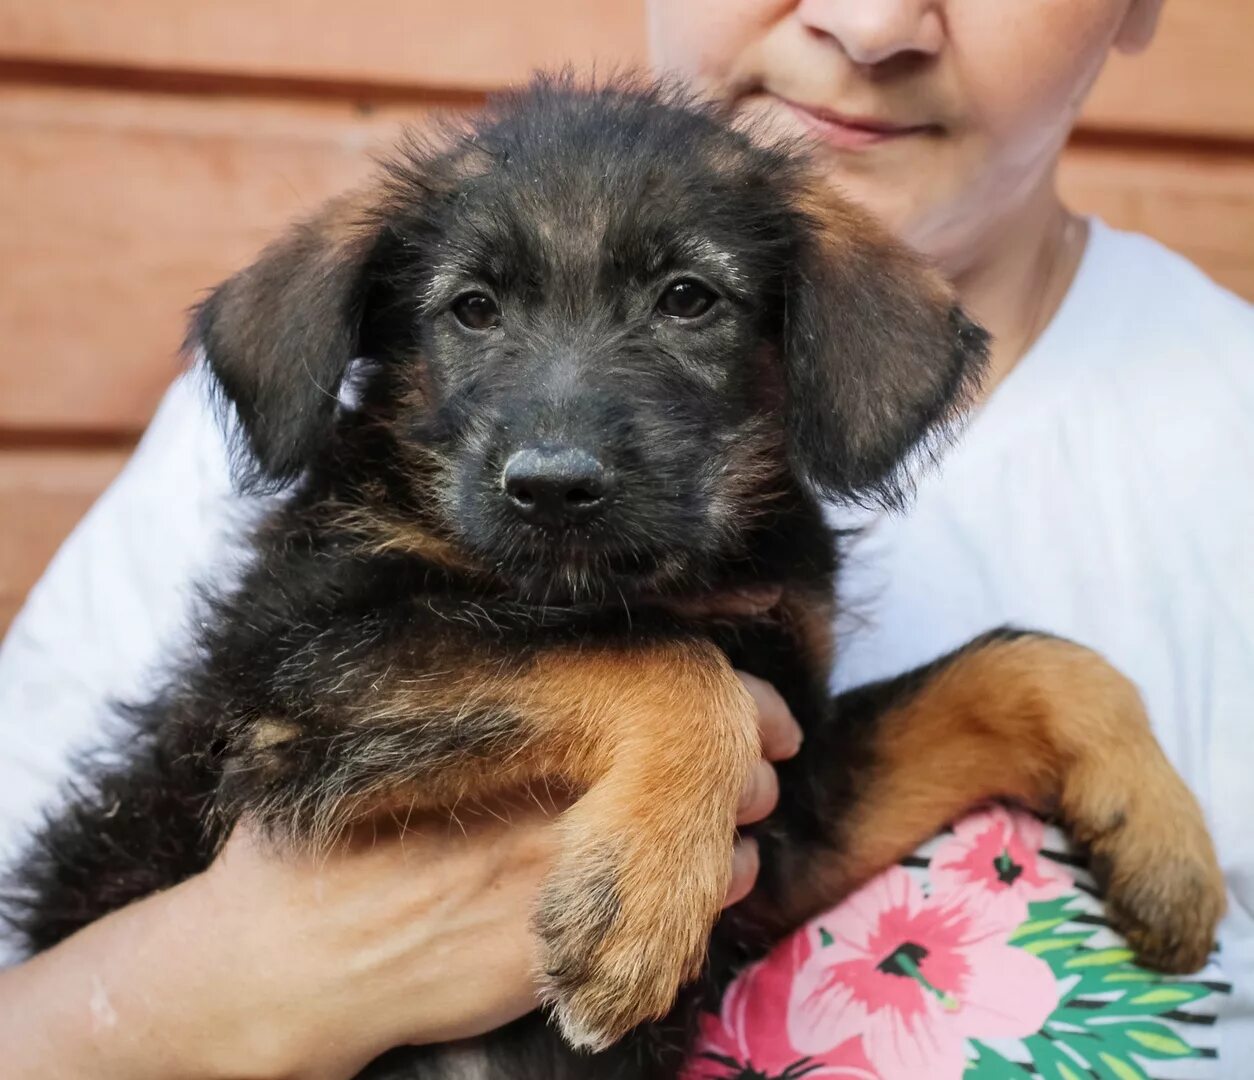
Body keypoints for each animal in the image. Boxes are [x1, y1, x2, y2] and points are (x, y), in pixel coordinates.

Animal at [2, 78, 1223, 1078]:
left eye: (689, 299)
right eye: (472, 308)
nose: (551, 487)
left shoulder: (793, 821)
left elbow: (1031, 663)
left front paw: (1164, 838)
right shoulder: (296, 677)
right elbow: (658, 659)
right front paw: (639, 906)